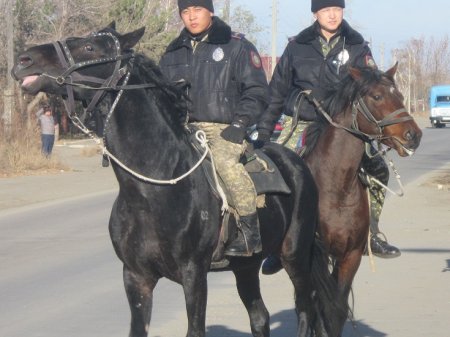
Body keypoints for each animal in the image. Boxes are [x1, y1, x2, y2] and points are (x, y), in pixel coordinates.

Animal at [13, 24, 344, 336]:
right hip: (247, 266)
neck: (155, 187)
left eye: (89, 47)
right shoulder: (135, 278)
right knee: (260, 317)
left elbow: (195, 329)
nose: (22, 60)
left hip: (295, 257)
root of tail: (297, 162)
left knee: (306, 310)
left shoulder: (194, 275)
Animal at [300, 65, 424, 330]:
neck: (335, 190)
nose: (414, 135)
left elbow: (335, 310)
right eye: (376, 96)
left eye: (400, 95)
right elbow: (317, 309)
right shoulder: (316, 257)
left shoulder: (351, 255)